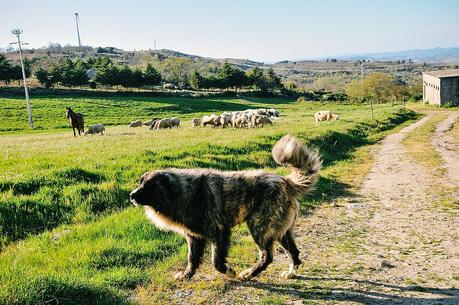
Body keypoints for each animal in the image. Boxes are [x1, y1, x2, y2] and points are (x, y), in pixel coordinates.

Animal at [131, 134, 322, 280]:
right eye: (140, 183)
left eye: (148, 186)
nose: (131, 195)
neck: (181, 192)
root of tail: (285, 181)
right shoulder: (194, 237)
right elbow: (192, 259)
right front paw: (186, 276)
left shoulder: (219, 232)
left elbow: (215, 261)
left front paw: (229, 272)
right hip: (282, 232)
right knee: (294, 253)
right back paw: (291, 273)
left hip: (260, 227)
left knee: (267, 256)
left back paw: (249, 273)